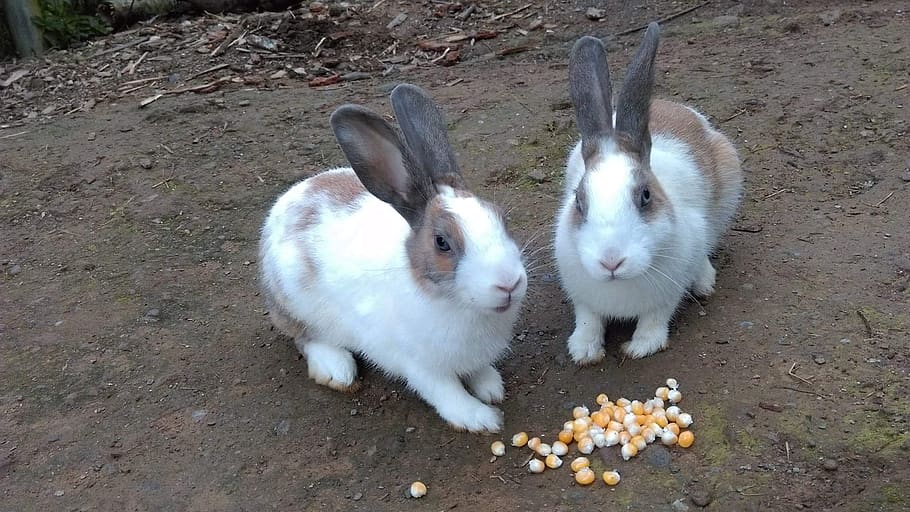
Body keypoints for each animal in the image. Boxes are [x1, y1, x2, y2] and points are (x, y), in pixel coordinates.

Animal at [259, 84, 527, 433]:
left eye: (501, 218)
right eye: (442, 242)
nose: (509, 283)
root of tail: (287, 201)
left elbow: (478, 371)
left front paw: (491, 386)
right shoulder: (419, 365)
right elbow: (447, 393)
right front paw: (481, 418)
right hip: (296, 306)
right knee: (305, 339)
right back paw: (337, 369)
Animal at [554, 23, 743, 363]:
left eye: (645, 195)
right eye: (578, 201)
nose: (611, 262)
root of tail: (675, 106)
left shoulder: (668, 292)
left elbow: (655, 317)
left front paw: (641, 346)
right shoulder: (582, 296)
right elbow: (588, 318)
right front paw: (584, 350)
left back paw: (704, 282)